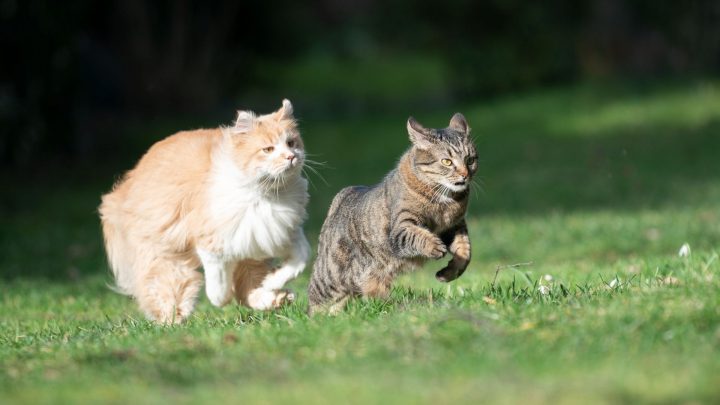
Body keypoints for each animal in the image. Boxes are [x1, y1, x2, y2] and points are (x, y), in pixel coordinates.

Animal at [97, 99, 308, 324]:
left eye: (291, 143)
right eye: (268, 149)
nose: (291, 157)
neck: (267, 194)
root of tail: (131, 179)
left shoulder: (277, 234)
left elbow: (298, 262)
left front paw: (273, 283)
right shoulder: (212, 242)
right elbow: (218, 290)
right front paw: (223, 298)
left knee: (250, 287)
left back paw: (275, 298)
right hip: (166, 256)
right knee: (165, 289)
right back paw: (173, 319)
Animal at [306, 112, 476, 314]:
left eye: (470, 160)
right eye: (447, 162)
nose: (465, 175)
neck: (446, 201)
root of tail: (339, 199)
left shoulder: (454, 225)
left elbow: (465, 251)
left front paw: (449, 272)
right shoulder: (401, 227)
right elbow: (417, 235)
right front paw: (434, 246)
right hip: (329, 280)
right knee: (313, 302)